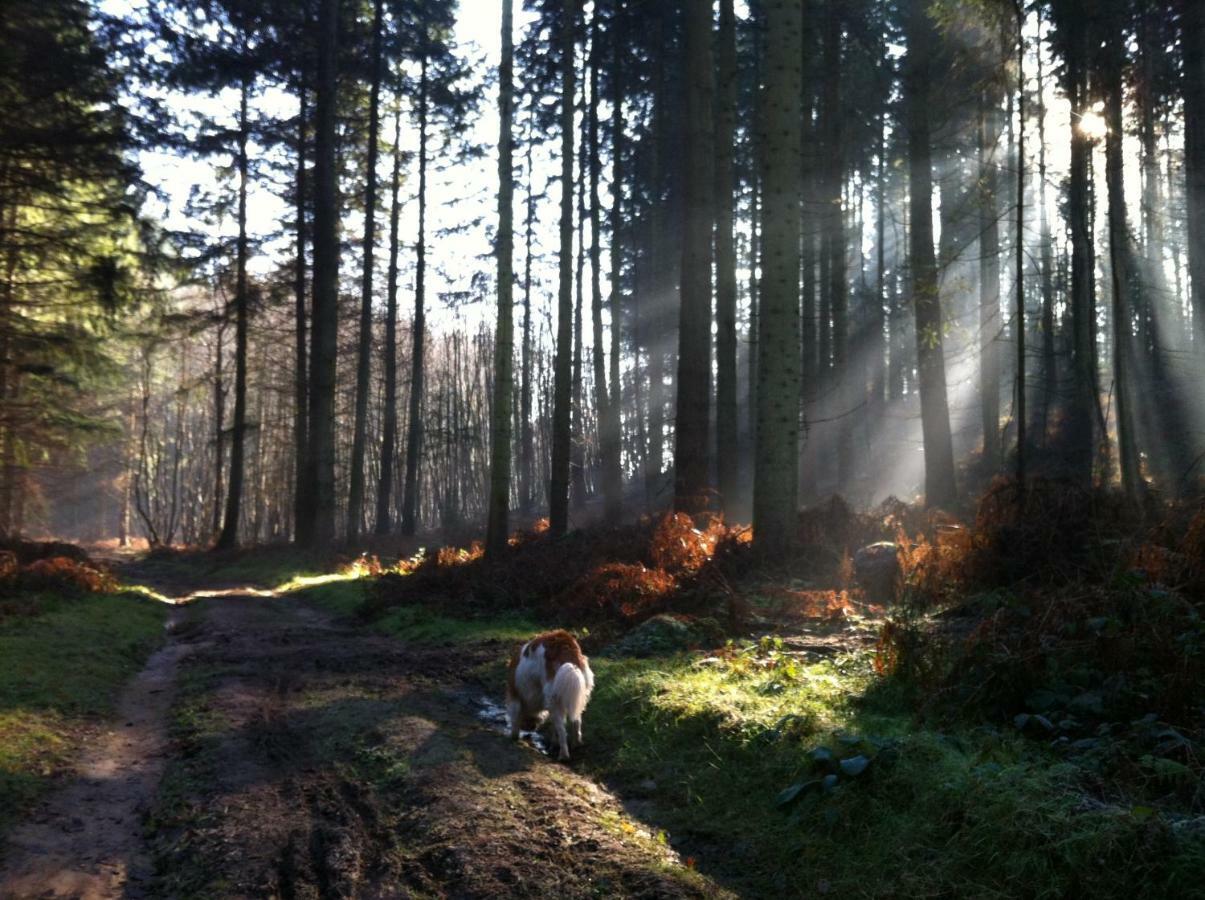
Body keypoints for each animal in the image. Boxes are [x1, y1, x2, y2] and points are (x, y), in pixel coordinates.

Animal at [503, 631, 592, 766]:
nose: (530, 728)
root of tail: (564, 642)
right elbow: (554, 726)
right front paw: (553, 744)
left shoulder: (514, 696)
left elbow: (515, 719)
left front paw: (513, 736)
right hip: (577, 695)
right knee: (576, 721)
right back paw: (576, 744)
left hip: (554, 698)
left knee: (562, 730)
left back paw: (564, 755)